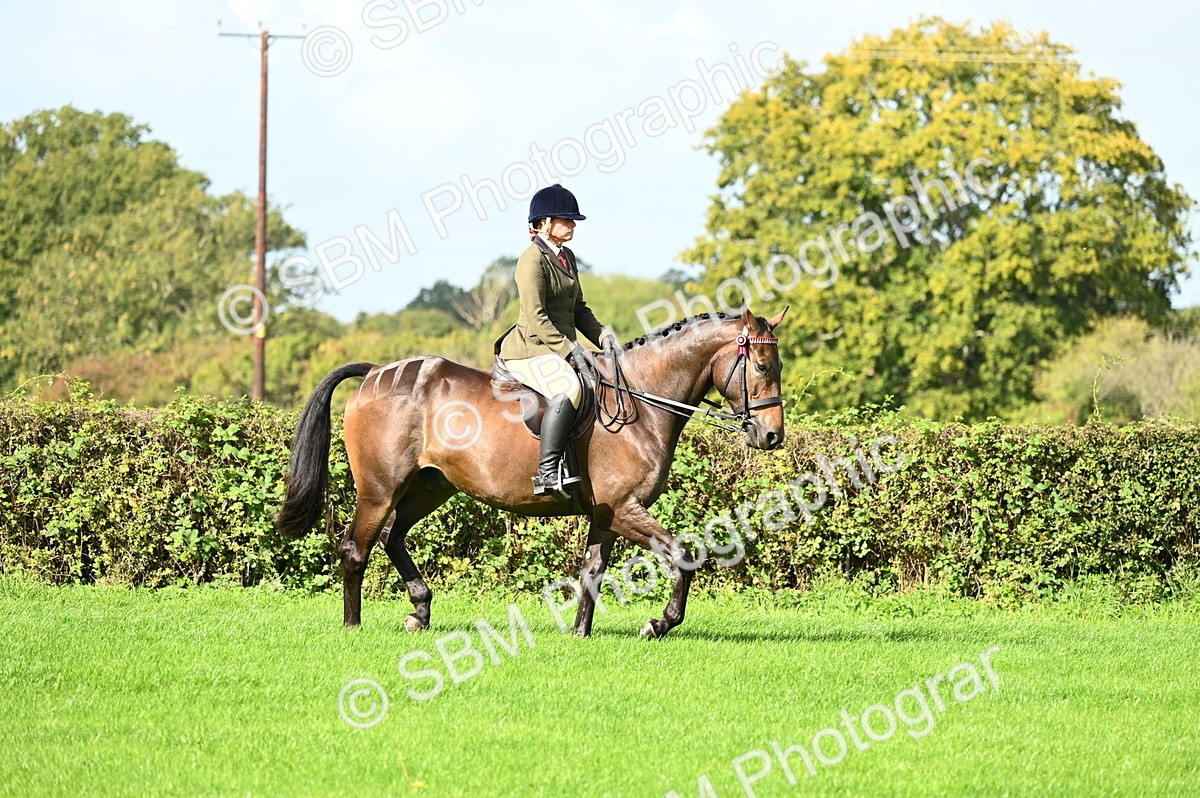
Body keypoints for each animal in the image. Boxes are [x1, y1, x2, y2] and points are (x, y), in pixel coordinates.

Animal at [277, 307, 788, 639]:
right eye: (762, 366)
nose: (772, 437)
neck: (641, 402)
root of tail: (375, 372)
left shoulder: (606, 515)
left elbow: (592, 571)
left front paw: (580, 633)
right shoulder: (625, 509)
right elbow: (684, 554)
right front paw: (659, 623)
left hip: (430, 486)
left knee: (392, 537)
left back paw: (419, 612)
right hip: (380, 489)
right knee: (356, 548)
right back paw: (353, 626)